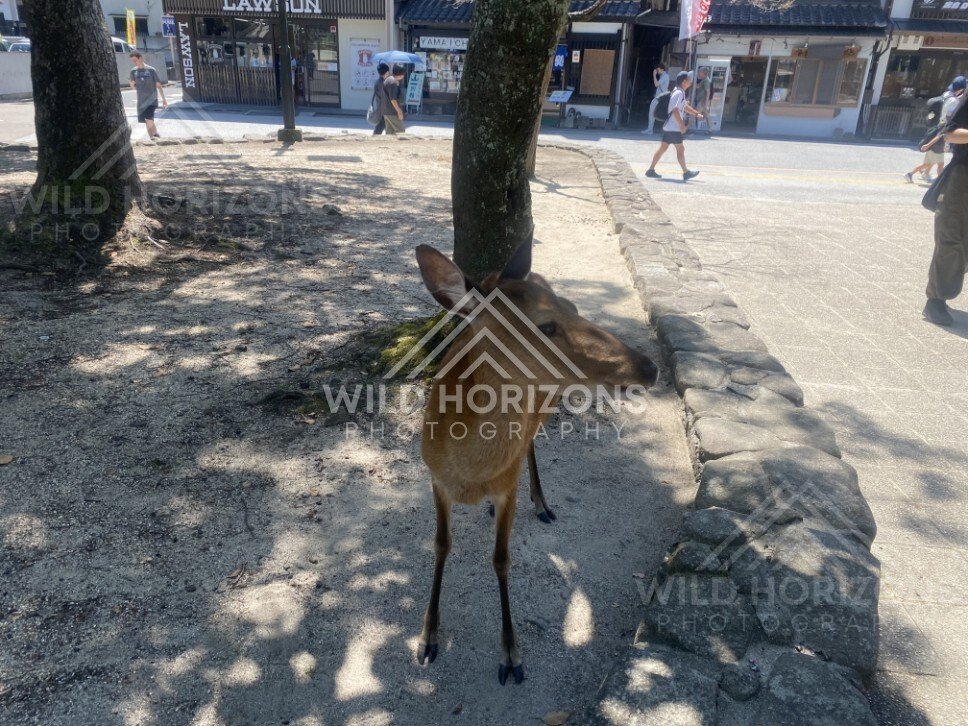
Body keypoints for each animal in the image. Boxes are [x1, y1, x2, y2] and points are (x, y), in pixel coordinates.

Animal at [413, 241, 659, 685]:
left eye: (574, 307)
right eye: (545, 326)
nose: (649, 367)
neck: (469, 473)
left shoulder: (505, 485)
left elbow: (500, 559)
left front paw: (511, 656)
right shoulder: (435, 478)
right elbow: (441, 545)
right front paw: (427, 640)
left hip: (545, 401)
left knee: (530, 444)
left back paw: (542, 502)